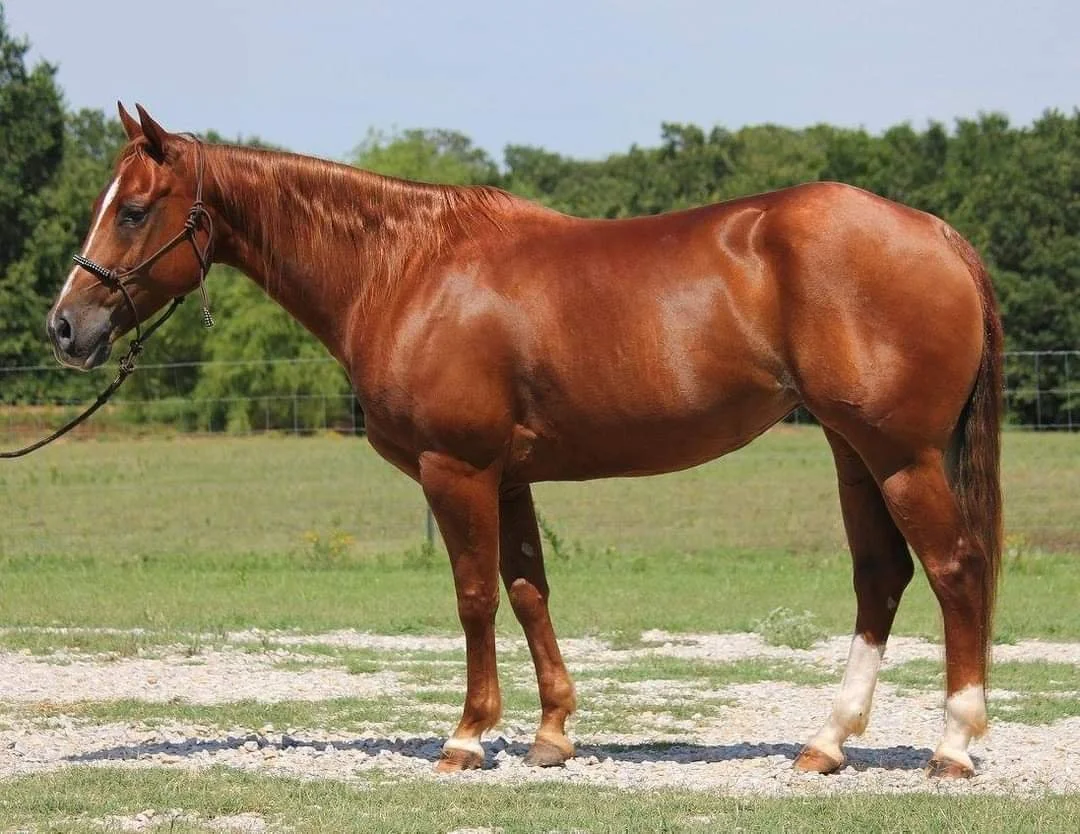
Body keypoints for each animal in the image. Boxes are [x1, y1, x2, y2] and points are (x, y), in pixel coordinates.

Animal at [47, 104, 1003, 779]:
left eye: (134, 211)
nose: (65, 326)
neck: (407, 270)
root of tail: (936, 231)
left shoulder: (456, 470)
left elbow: (474, 596)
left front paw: (468, 736)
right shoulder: (509, 477)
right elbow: (528, 589)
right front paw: (551, 733)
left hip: (900, 456)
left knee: (953, 570)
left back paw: (952, 747)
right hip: (853, 453)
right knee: (882, 578)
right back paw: (826, 742)